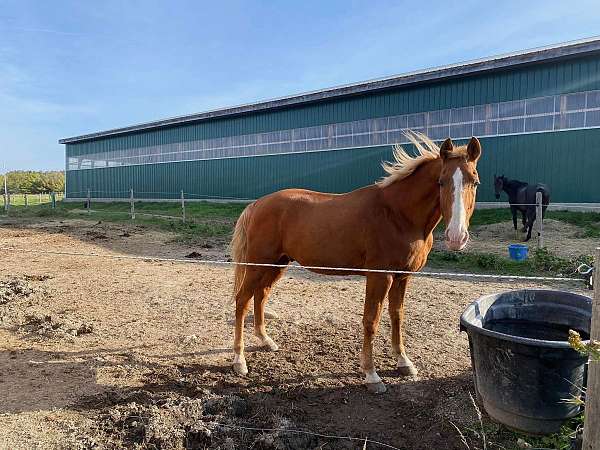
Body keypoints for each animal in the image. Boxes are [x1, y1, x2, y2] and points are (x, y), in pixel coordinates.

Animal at [230, 132, 482, 392]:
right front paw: (371, 375)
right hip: (258, 264)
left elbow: (397, 316)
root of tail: (257, 204)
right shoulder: (379, 276)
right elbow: (371, 321)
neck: (397, 214)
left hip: (277, 264)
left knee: (260, 295)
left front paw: (403, 362)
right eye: (441, 182)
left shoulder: (402, 277)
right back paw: (239, 360)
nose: (456, 237)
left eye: (475, 182)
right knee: (242, 301)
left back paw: (265, 340)